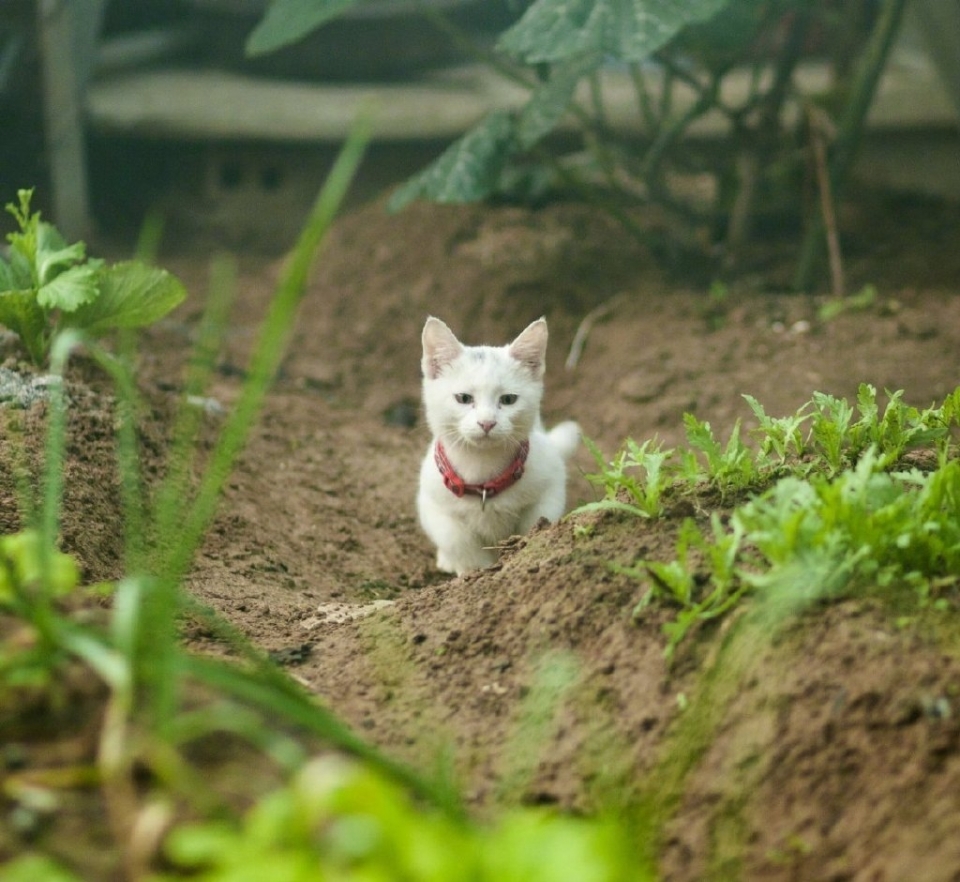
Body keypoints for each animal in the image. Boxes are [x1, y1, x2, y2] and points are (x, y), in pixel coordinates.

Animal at [418, 312, 580, 576]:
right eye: (464, 398)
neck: (482, 472)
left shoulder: (549, 487)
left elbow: (534, 526)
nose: (487, 423)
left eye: (509, 399)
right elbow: (461, 544)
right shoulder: (436, 507)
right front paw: (475, 573)